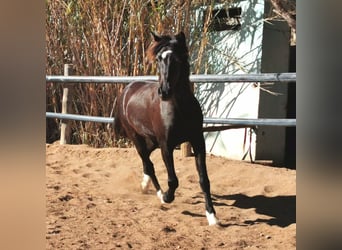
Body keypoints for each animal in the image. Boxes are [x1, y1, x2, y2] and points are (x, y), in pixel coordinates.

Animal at [113, 31, 218, 225]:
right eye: (158, 59)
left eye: (177, 59)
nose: (164, 92)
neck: (180, 109)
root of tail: (126, 90)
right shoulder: (166, 145)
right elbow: (173, 180)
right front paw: (167, 197)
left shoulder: (198, 142)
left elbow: (204, 180)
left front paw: (212, 216)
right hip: (137, 138)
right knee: (149, 164)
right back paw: (159, 194)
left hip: (152, 140)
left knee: (147, 162)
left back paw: (145, 185)